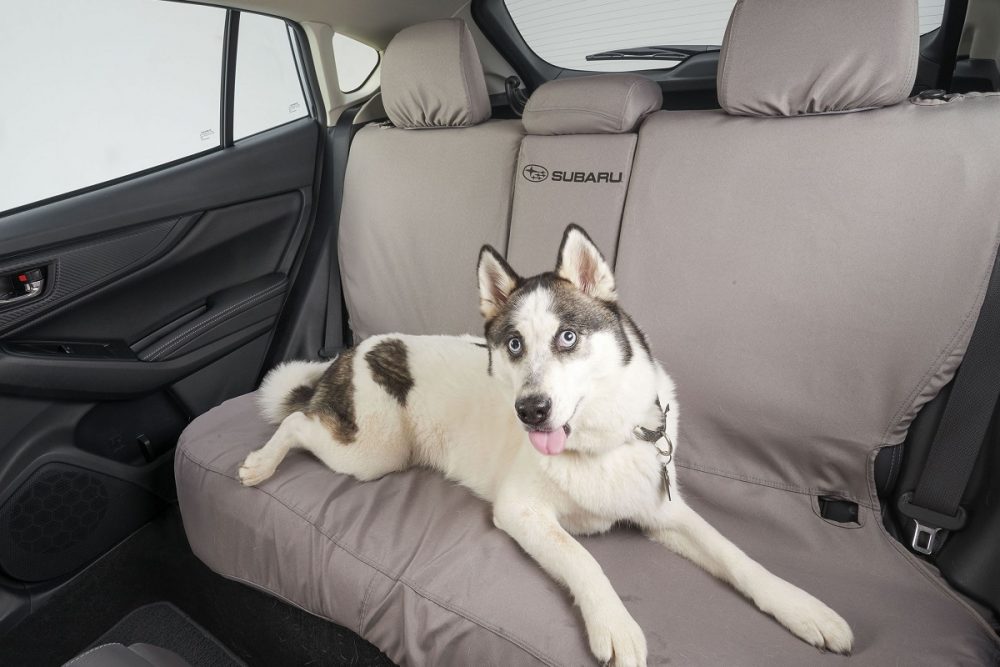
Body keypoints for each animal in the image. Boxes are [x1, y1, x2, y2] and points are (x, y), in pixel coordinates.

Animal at [240, 226, 852, 667]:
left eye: (568, 337)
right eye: (513, 344)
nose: (530, 410)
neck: (603, 441)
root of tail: (353, 350)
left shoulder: (663, 513)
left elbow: (737, 557)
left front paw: (803, 608)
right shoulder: (522, 512)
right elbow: (584, 559)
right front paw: (614, 623)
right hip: (372, 452)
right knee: (295, 422)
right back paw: (261, 462)